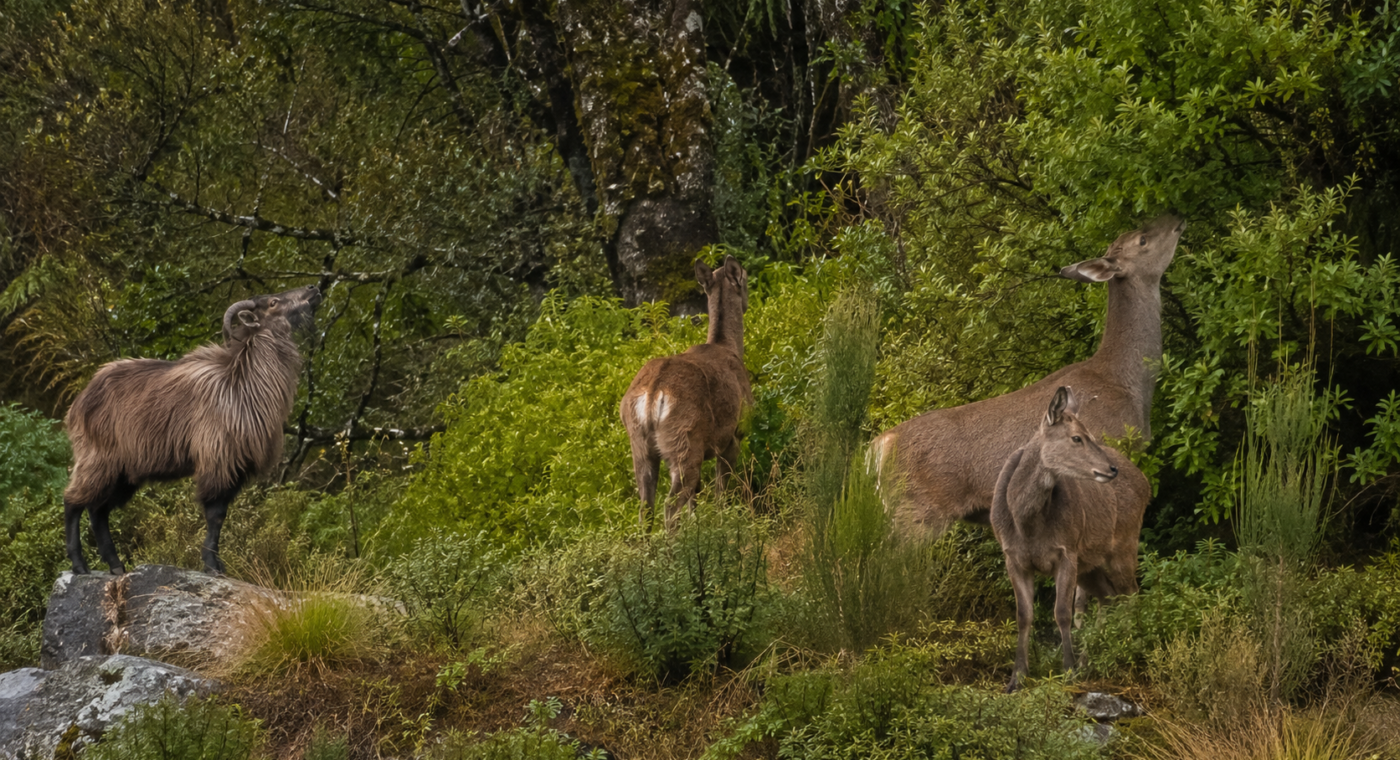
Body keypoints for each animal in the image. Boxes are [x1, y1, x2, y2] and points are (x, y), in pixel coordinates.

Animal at [63, 285, 321, 575]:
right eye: (274, 302)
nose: (313, 289)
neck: (241, 383)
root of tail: (78, 404)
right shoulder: (217, 461)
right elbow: (215, 515)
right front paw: (211, 565)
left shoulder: (235, 468)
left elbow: (221, 516)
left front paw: (217, 564)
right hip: (98, 459)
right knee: (73, 502)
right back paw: (79, 565)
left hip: (122, 473)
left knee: (98, 511)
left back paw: (116, 567)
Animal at [620, 255, 753, 531]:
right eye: (746, 278)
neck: (728, 348)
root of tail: (653, 392)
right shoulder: (735, 433)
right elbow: (721, 490)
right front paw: (723, 521)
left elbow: (696, 499)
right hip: (685, 439)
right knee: (670, 505)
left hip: (640, 445)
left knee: (645, 509)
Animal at [991, 386, 1148, 691]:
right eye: (1077, 437)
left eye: (1091, 434)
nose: (1111, 469)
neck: (1027, 526)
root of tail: (1145, 482)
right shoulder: (1012, 557)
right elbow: (1023, 615)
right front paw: (1016, 678)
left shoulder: (1067, 550)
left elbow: (1062, 611)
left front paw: (1068, 670)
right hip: (1090, 564)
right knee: (1108, 597)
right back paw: (1091, 660)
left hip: (1124, 545)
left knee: (1132, 594)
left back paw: (1126, 650)